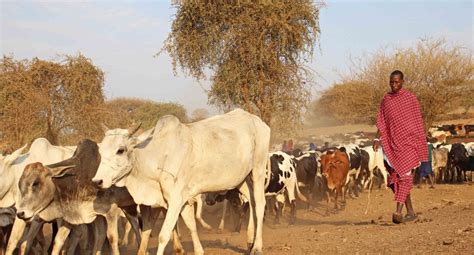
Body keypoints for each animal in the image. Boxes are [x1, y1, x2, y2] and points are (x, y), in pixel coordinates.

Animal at [92, 109, 270, 255]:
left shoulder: (176, 199)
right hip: (241, 180)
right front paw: (199, 250)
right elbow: (189, 225)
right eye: (100, 150)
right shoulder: (178, 200)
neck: (158, 156)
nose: (97, 181)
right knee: (252, 201)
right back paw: (249, 241)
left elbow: (164, 235)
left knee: (260, 203)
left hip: (258, 169)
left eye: (120, 150)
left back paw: (257, 247)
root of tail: (258, 121)